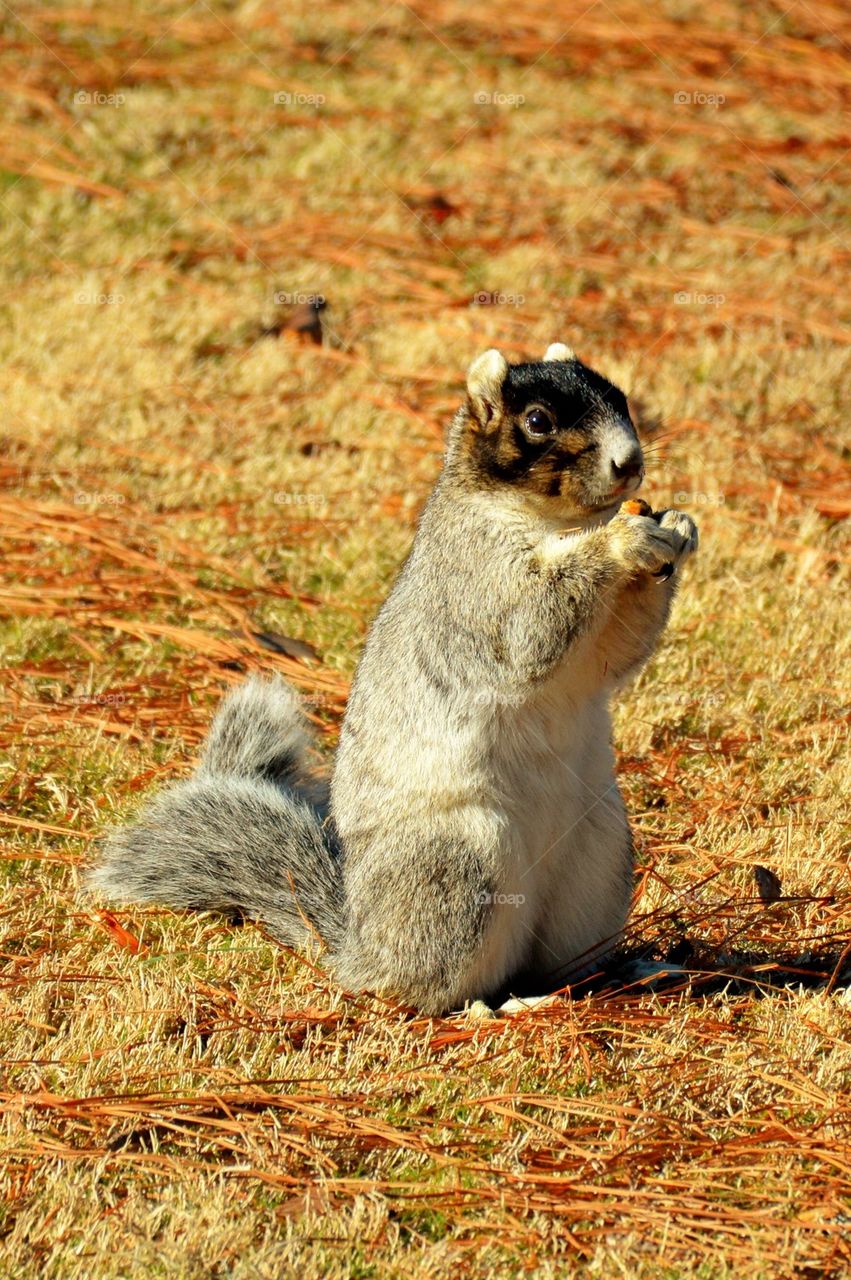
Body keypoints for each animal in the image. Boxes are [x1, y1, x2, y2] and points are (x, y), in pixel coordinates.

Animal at [88, 343, 698, 1016]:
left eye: (619, 397)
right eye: (537, 421)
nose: (630, 461)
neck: (556, 524)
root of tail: (360, 946)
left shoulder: (596, 650)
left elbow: (618, 653)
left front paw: (677, 527)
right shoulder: (475, 580)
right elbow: (530, 624)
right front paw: (622, 541)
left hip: (599, 855)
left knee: (559, 962)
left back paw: (629, 971)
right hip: (458, 863)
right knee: (429, 988)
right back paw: (495, 1009)